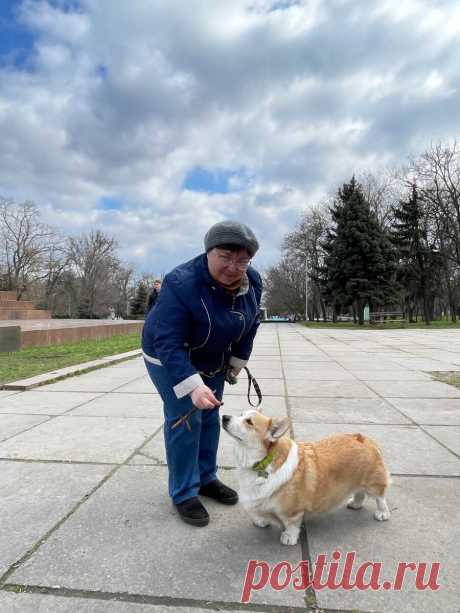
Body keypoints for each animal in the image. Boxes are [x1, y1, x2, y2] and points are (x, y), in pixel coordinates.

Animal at [221, 408, 390, 544]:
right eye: (241, 414)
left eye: (249, 422)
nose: (224, 417)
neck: (261, 462)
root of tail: (364, 439)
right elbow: (258, 511)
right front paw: (261, 520)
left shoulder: (293, 512)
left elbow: (292, 525)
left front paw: (289, 537)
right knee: (359, 493)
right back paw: (355, 504)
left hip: (373, 484)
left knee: (380, 497)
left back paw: (382, 513)